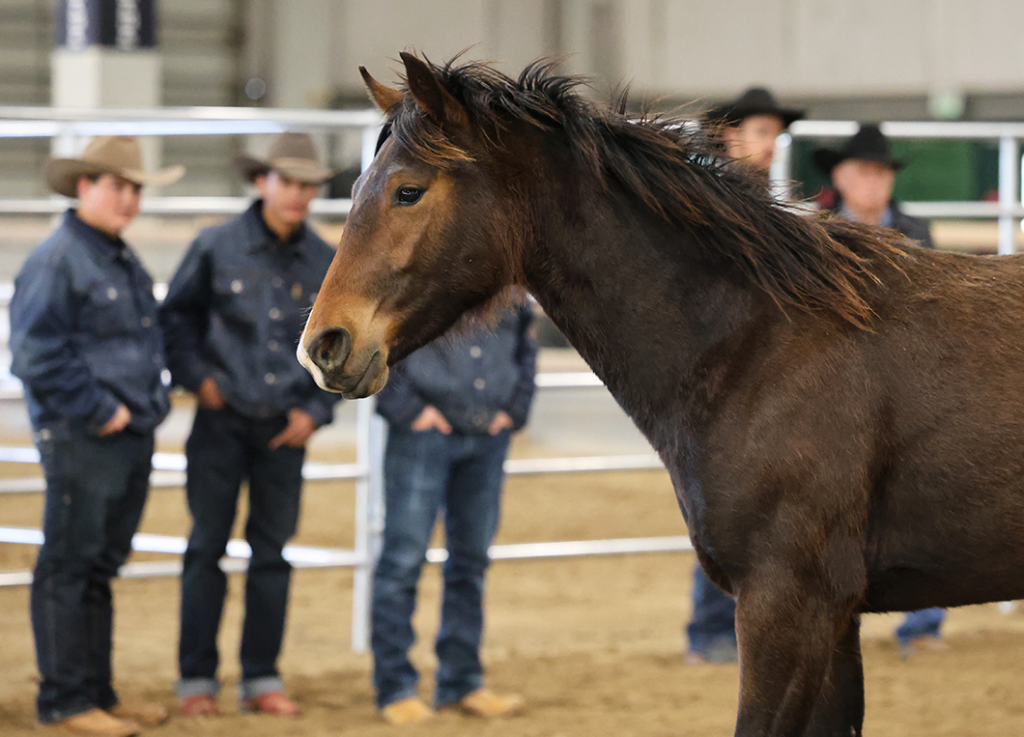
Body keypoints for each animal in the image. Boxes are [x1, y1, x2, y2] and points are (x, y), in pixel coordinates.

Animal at [297, 52, 1024, 736]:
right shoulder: (835, 622)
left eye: (408, 191)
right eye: (353, 188)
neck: (758, 342)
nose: (324, 344)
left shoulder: (791, 608)